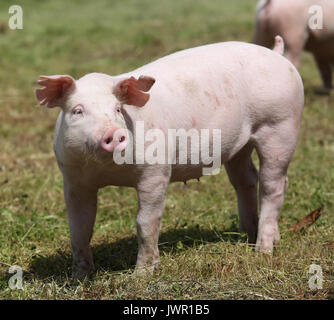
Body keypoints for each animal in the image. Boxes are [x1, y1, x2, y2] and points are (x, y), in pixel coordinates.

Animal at [35, 36, 304, 278]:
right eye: (77, 111)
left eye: (117, 110)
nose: (114, 133)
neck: (108, 171)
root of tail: (277, 54)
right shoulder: (74, 179)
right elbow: (79, 228)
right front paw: (79, 277)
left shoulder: (156, 172)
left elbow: (145, 222)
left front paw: (141, 275)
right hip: (240, 145)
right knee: (247, 179)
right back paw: (246, 237)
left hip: (280, 126)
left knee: (273, 185)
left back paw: (263, 251)